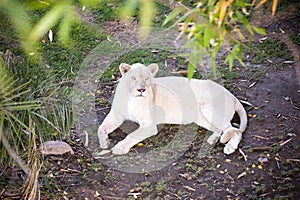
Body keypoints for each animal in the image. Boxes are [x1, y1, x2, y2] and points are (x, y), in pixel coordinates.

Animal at [97, 62, 247, 155]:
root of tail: (231, 95)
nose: (141, 90)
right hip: (200, 117)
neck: (132, 98)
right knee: (221, 129)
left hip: (210, 110)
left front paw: (119, 148)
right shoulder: (117, 114)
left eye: (147, 78)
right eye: (133, 78)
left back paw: (229, 147)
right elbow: (101, 128)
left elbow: (132, 135)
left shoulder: (149, 125)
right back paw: (213, 140)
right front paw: (105, 143)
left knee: (235, 131)